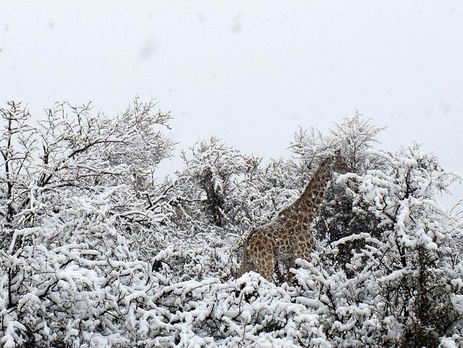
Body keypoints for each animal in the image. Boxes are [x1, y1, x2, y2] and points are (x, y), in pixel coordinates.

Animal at [239, 150, 348, 282]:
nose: (349, 168)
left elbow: (289, 281)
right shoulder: (303, 253)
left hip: (248, 263)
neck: (307, 215)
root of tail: (249, 240)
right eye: (341, 161)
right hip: (266, 262)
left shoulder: (289, 258)